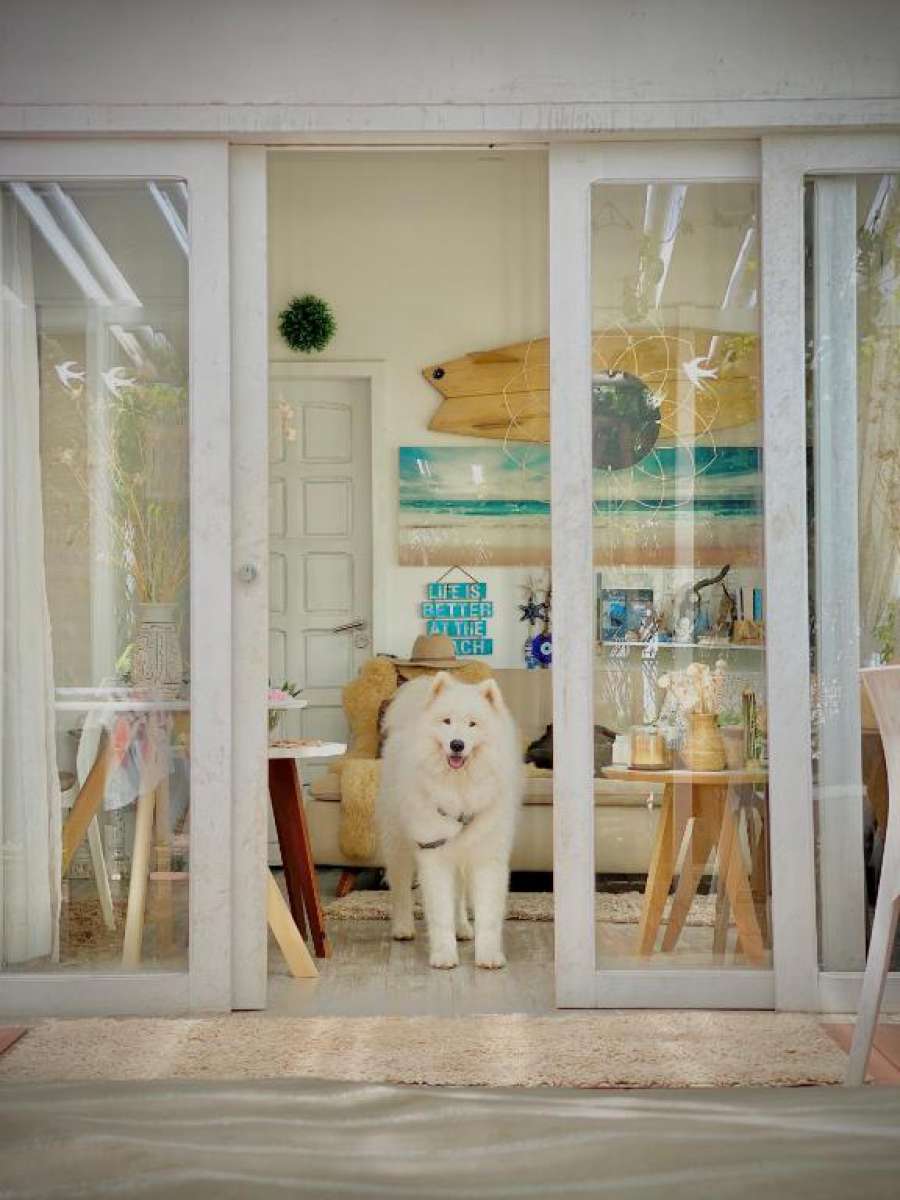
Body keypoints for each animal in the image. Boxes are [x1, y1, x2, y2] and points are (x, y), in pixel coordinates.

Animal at [379, 672, 520, 969]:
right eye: (446, 721)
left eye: (472, 724)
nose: (457, 744)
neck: (460, 788)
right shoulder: (434, 854)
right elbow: (440, 912)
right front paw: (444, 956)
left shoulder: (486, 857)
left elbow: (488, 915)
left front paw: (489, 956)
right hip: (398, 843)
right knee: (400, 888)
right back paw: (403, 928)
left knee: (459, 897)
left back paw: (463, 928)